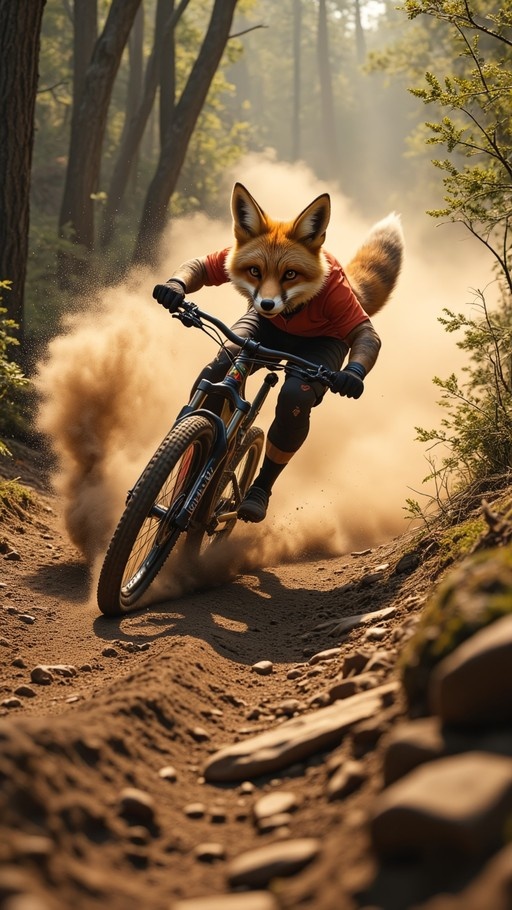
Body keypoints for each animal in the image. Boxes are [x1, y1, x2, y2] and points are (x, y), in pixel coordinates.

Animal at [153, 183, 404, 522]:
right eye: (254, 271)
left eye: (290, 274)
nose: (267, 305)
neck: (291, 312)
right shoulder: (225, 261)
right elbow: (204, 264)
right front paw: (172, 290)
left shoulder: (340, 302)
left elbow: (366, 332)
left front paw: (351, 379)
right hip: (248, 344)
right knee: (220, 367)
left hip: (311, 367)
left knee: (291, 405)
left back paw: (248, 501)